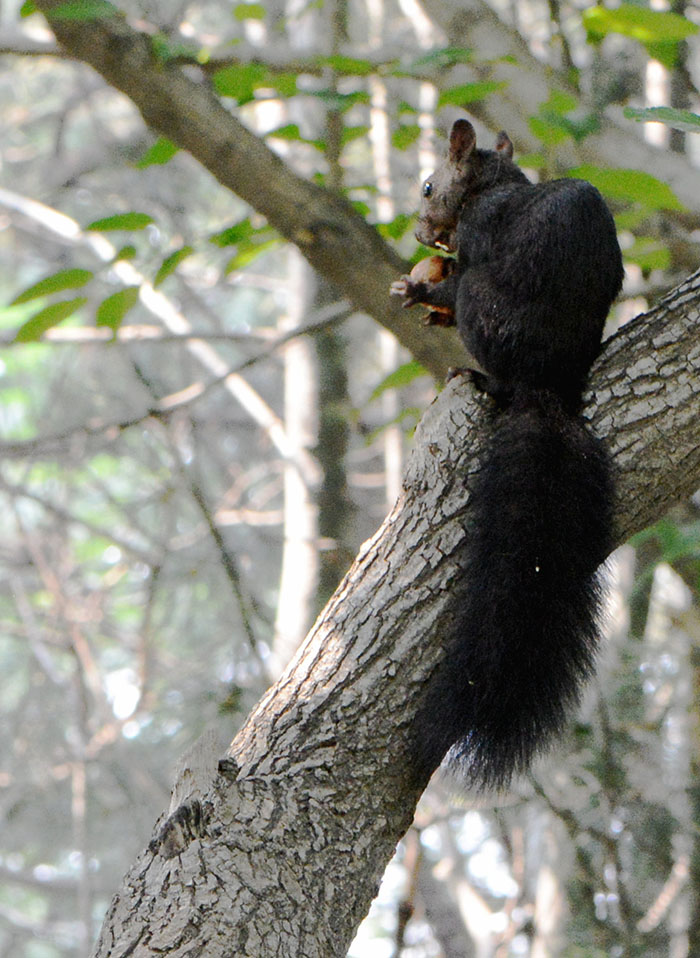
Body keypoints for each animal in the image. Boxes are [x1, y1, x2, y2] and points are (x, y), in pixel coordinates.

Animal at [388, 120, 624, 792]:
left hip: (482, 307)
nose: (420, 234)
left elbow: (450, 274)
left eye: (428, 185)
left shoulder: (474, 236)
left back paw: (478, 375)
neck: (494, 184)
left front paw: (418, 286)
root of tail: (543, 386)